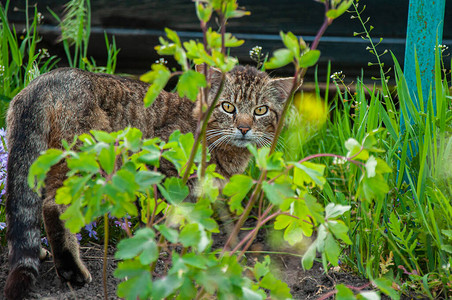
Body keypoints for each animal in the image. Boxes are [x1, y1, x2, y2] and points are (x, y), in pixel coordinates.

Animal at [4, 64, 294, 298]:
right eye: (228, 107)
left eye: (260, 110)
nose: (244, 128)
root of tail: (45, 80)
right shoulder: (161, 172)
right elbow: (160, 221)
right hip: (90, 165)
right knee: (53, 207)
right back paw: (71, 270)